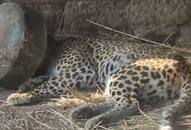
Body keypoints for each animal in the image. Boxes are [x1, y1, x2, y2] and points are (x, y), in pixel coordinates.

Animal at [6, 36, 179, 129]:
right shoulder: (63, 74)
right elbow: (46, 78)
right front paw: (26, 84)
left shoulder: (79, 73)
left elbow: (48, 84)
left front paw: (21, 96)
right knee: (118, 101)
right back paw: (83, 112)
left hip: (123, 74)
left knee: (131, 104)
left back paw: (95, 120)